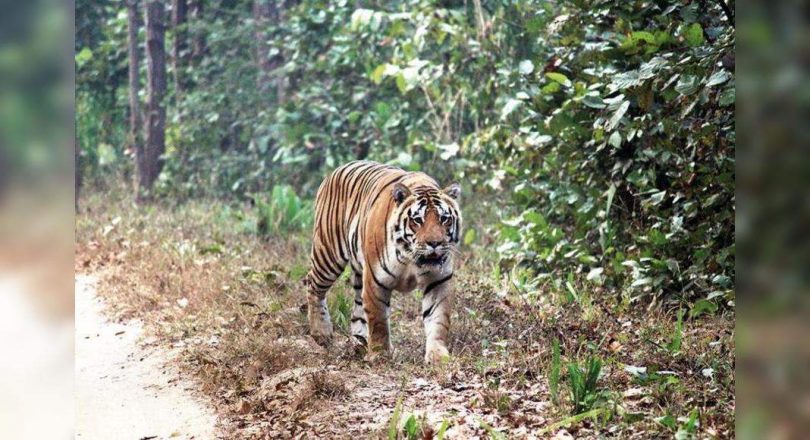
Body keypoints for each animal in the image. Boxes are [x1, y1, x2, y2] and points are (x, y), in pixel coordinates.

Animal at [303, 160, 462, 364]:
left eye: (444, 219)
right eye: (417, 220)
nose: (435, 243)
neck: (411, 258)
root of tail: (335, 171)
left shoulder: (438, 281)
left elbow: (438, 319)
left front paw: (438, 356)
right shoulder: (375, 281)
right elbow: (378, 320)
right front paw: (380, 354)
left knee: (357, 309)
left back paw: (359, 343)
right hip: (328, 254)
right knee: (313, 284)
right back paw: (321, 333)